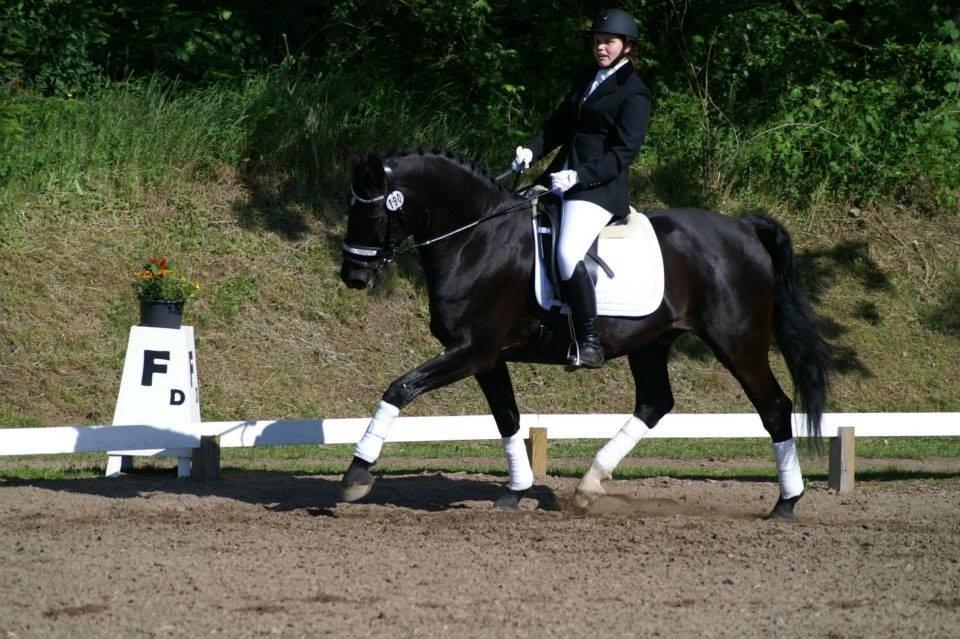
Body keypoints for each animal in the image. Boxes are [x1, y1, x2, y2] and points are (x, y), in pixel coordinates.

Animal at [338, 147, 831, 519]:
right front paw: (515, 491)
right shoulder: (487, 357)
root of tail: (743, 227)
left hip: (737, 342)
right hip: (651, 342)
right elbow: (507, 418)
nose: (353, 277)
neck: (477, 239)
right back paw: (589, 485)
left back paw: (787, 503)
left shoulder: (472, 350)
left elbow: (400, 388)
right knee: (655, 402)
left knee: (774, 407)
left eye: (371, 212)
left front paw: (356, 475)